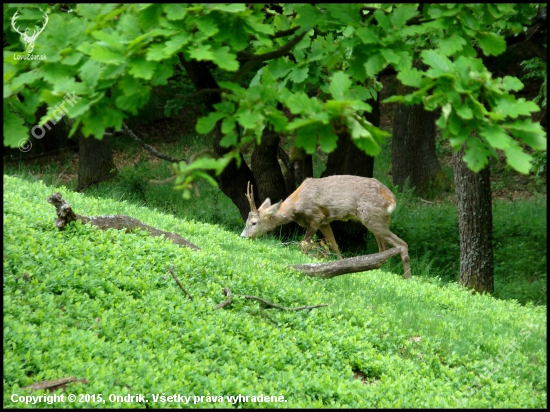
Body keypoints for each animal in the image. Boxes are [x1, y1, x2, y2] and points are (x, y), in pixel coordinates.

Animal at [242, 175, 414, 278]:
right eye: (246, 221)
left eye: (254, 222)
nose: (243, 236)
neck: (296, 205)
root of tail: (392, 200)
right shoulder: (325, 222)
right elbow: (335, 245)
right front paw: (340, 265)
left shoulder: (315, 217)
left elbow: (304, 244)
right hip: (375, 221)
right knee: (383, 249)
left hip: (373, 218)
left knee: (402, 244)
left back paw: (407, 278)